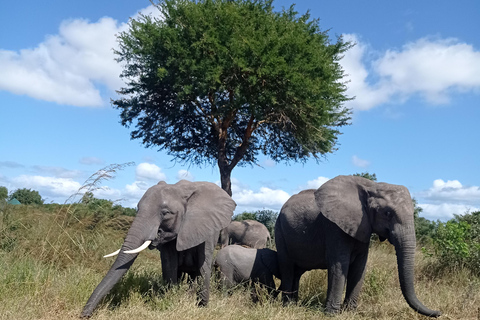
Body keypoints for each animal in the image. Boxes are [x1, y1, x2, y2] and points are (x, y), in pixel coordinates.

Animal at [80, 180, 236, 318]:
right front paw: (171, 299)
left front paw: (201, 307)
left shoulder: (207, 228)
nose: (84, 315)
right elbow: (169, 264)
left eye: (166, 213)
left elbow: (203, 265)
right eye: (137, 208)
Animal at [276, 175, 440, 318]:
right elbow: (339, 265)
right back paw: (287, 306)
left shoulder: (362, 227)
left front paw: (350, 312)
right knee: (288, 267)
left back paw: (293, 304)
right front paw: (331, 315)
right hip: (280, 230)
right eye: (387, 213)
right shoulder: (334, 227)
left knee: (297, 272)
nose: (439, 312)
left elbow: (359, 267)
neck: (371, 187)